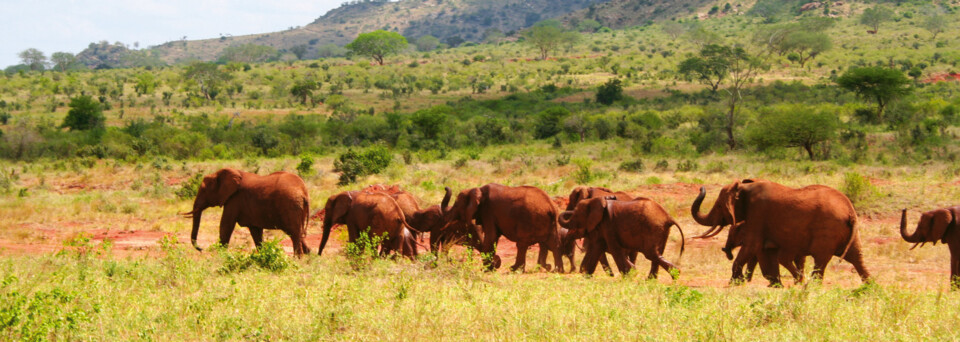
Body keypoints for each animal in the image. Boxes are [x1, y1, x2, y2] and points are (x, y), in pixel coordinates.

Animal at [182, 167, 310, 258]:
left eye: (204, 190)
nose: (201, 249)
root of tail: (303, 191)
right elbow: (255, 231)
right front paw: (262, 255)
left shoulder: (234, 200)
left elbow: (225, 225)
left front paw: (220, 255)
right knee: (296, 232)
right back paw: (309, 255)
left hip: (290, 204)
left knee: (293, 232)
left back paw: (298, 259)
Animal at [560, 196, 688, 280]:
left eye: (576, 216)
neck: (595, 201)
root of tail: (668, 217)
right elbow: (598, 247)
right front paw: (587, 276)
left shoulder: (608, 224)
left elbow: (613, 248)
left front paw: (627, 276)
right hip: (662, 230)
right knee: (657, 254)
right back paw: (653, 279)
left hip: (653, 228)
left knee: (651, 254)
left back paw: (675, 275)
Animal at [688, 179, 872, 286]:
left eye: (719, 205)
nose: (701, 188)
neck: (744, 187)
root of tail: (850, 211)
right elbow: (765, 251)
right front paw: (775, 284)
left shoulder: (758, 212)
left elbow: (751, 246)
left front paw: (735, 283)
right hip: (848, 233)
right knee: (857, 257)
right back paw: (869, 286)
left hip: (827, 230)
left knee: (820, 260)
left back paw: (811, 286)